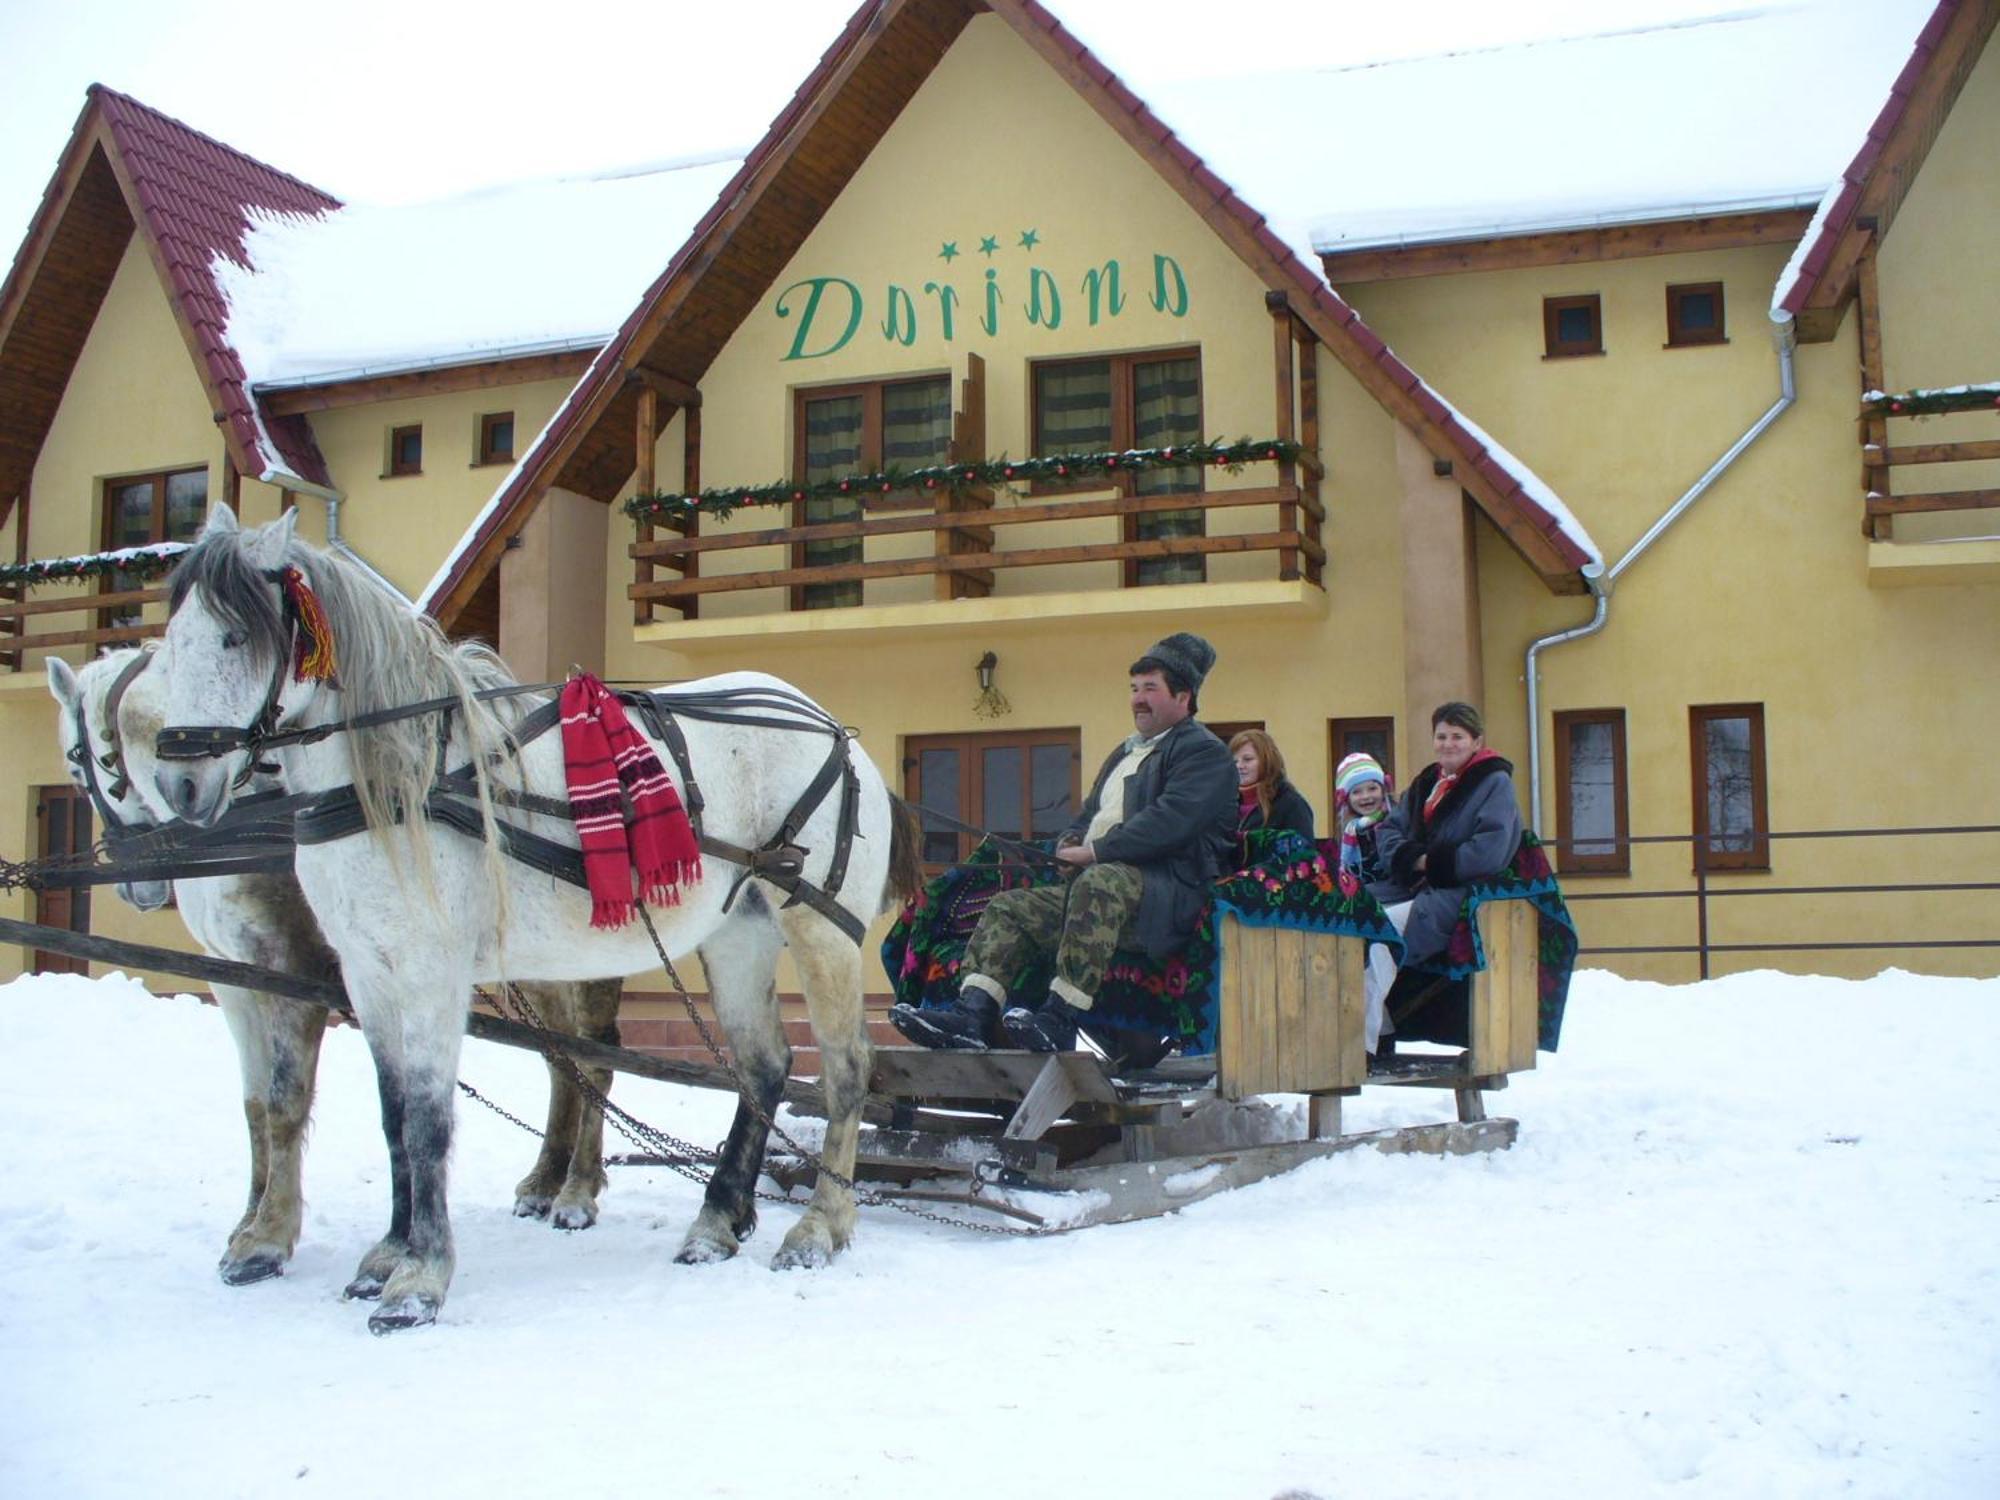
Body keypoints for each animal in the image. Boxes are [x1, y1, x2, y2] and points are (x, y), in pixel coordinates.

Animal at [50, 640, 624, 1288]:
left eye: (79, 763)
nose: (138, 887)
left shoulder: (294, 967)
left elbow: (286, 1100)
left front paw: (268, 1237)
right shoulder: (235, 980)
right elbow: (255, 1104)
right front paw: (249, 1221)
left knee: (594, 1058)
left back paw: (577, 1190)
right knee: (563, 1062)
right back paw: (547, 1180)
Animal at [150, 512, 920, 1336]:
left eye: (235, 637)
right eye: (171, 642)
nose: (180, 783)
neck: (404, 781)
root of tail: (836, 732)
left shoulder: (428, 974)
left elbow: (426, 1120)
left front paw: (418, 1279)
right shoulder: (367, 974)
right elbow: (393, 1114)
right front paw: (386, 1254)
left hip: (821, 925)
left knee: (845, 1068)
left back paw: (821, 1225)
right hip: (736, 932)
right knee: (764, 1064)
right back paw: (717, 1220)